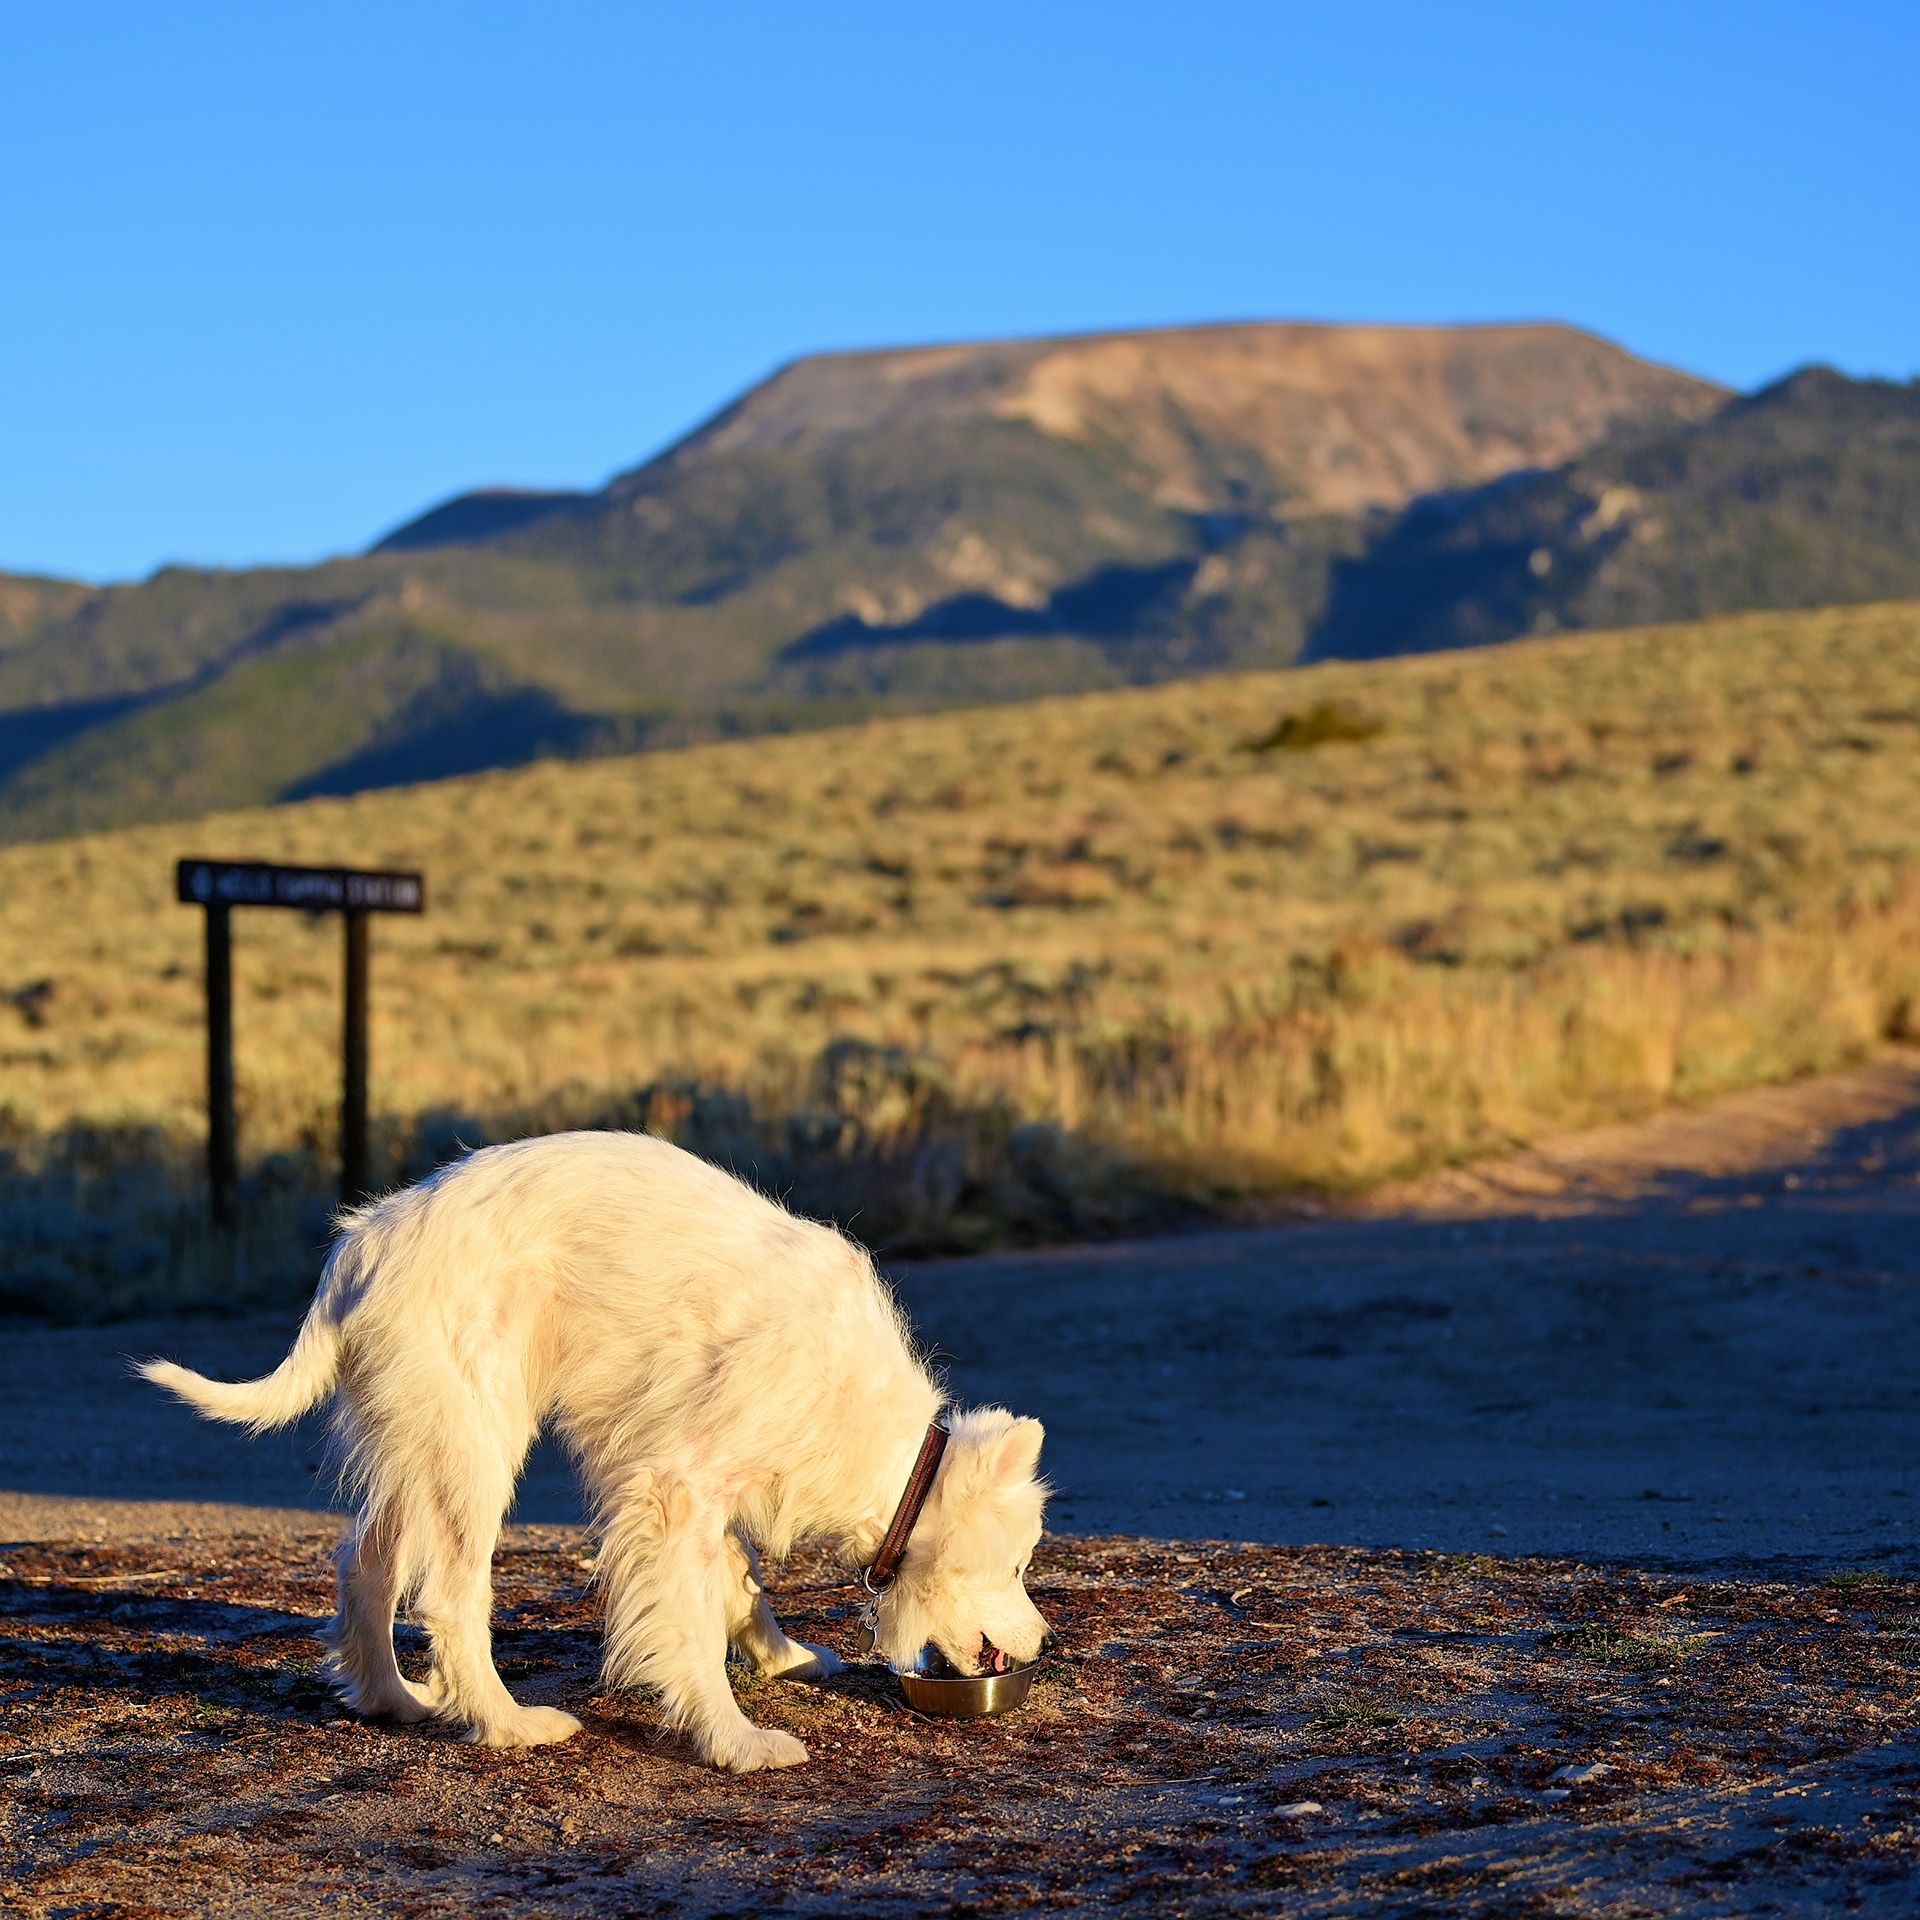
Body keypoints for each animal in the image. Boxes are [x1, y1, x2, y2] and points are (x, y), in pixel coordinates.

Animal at [142, 1128, 1052, 1774]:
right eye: (1015, 1567)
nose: (1043, 1643)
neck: (896, 1460)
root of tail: (363, 1239)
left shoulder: (702, 1487)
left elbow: (741, 1587)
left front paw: (784, 1659)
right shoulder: (674, 1488)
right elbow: (692, 1628)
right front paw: (734, 1742)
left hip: (417, 1449)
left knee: (363, 1568)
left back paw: (394, 1701)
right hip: (476, 1450)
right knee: (450, 1601)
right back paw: (507, 1725)